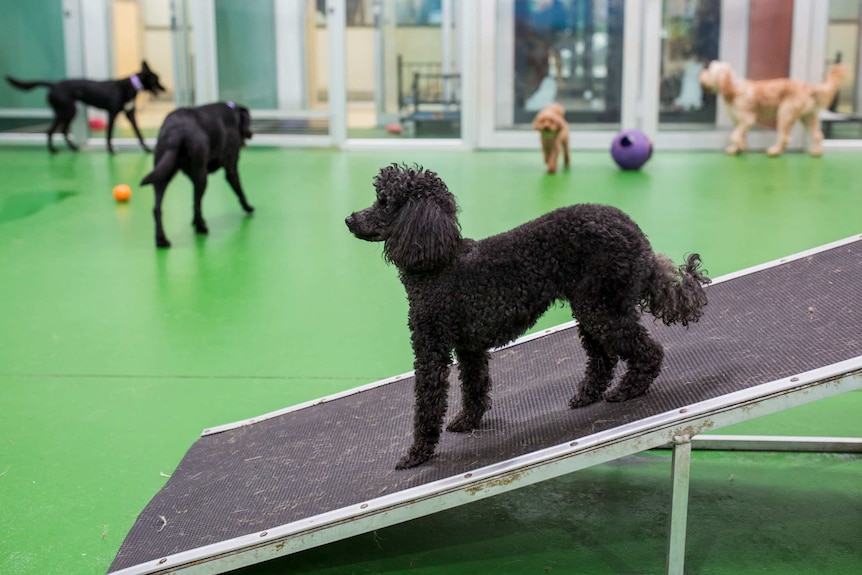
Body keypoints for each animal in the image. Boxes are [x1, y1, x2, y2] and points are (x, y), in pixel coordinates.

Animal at [6, 60, 165, 153]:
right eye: (156, 79)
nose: (165, 89)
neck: (131, 85)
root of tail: (53, 85)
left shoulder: (130, 114)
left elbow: (139, 134)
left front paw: (147, 149)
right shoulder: (112, 113)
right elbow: (109, 134)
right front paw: (110, 150)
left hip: (69, 111)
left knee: (62, 130)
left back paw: (73, 148)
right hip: (66, 111)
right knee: (52, 131)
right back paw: (53, 150)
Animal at [348, 164, 712, 470]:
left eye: (384, 202)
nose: (350, 219)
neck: (439, 261)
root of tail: (636, 235)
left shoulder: (431, 349)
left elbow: (427, 405)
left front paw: (416, 455)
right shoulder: (470, 347)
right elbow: (475, 387)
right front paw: (468, 422)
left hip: (601, 307)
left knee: (647, 351)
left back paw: (628, 390)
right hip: (592, 305)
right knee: (603, 357)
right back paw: (586, 395)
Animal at [704, 62, 852, 156]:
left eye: (709, 69)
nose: (702, 73)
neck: (733, 88)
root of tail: (810, 89)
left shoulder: (747, 119)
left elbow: (734, 135)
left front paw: (741, 147)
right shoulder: (739, 123)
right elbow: (738, 135)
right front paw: (736, 149)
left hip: (785, 113)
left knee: (785, 137)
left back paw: (775, 151)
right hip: (808, 117)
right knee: (818, 135)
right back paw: (817, 152)